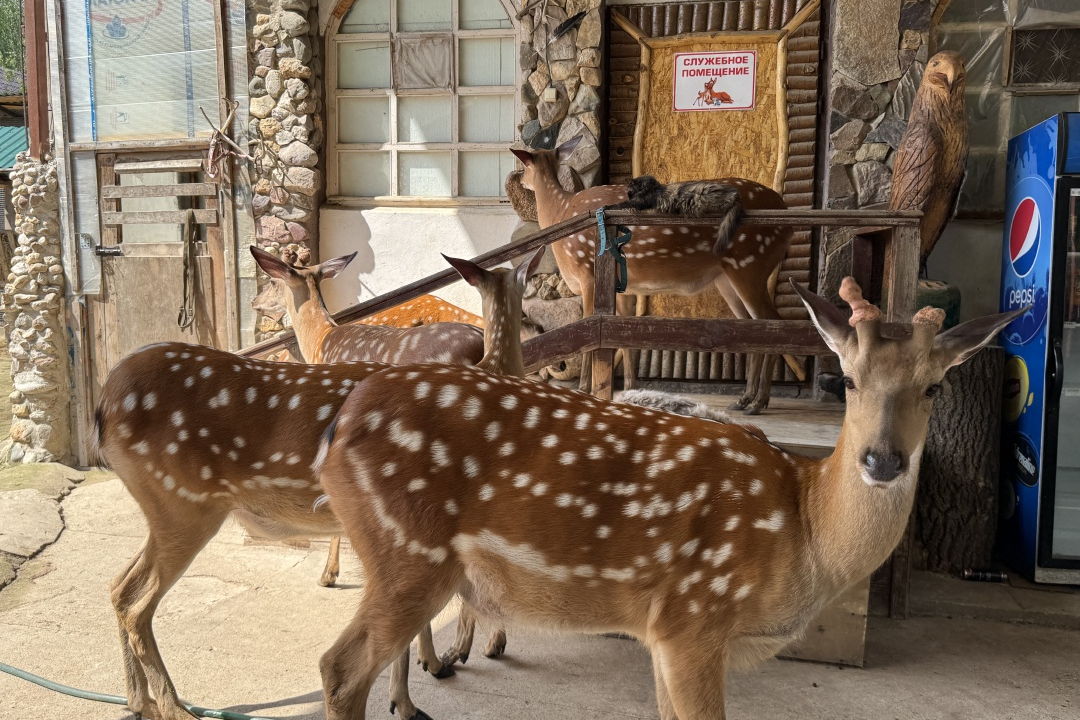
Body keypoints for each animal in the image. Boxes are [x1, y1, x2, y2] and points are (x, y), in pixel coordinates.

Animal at [312, 277, 1021, 720]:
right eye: (848, 379)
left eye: (935, 386)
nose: (883, 460)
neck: (804, 531)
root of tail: (336, 429)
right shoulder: (696, 617)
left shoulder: (663, 631)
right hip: (409, 552)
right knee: (339, 670)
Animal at [511, 139, 802, 414]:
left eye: (523, 165)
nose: (519, 180)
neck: (560, 211)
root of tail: (788, 219)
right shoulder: (624, 287)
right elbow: (621, 335)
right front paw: (631, 389)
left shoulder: (587, 275)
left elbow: (587, 331)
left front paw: (585, 388)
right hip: (727, 277)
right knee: (752, 328)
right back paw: (745, 399)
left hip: (750, 263)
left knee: (773, 323)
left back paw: (758, 402)